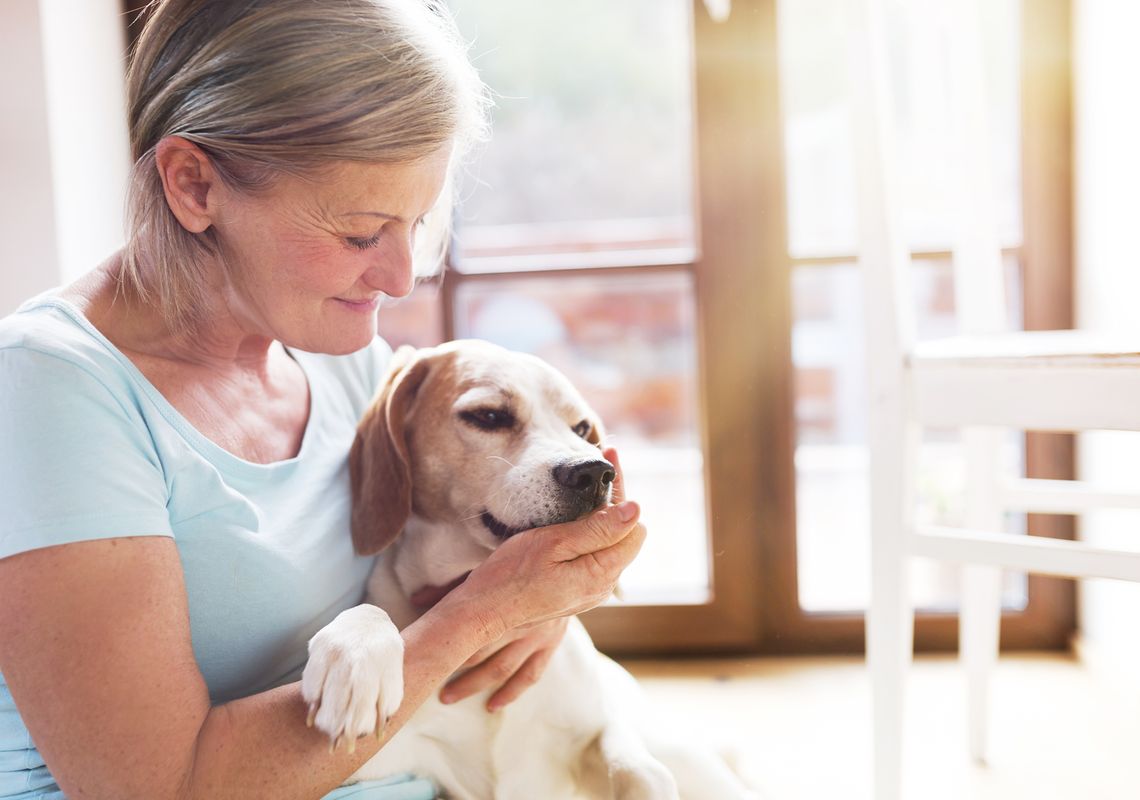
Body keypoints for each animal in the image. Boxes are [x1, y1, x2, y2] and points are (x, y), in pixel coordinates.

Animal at [300, 344, 756, 800]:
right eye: (488, 415)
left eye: (582, 427)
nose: (595, 471)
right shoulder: (388, 762)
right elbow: (372, 613)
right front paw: (354, 660)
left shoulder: (597, 731)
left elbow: (640, 769)